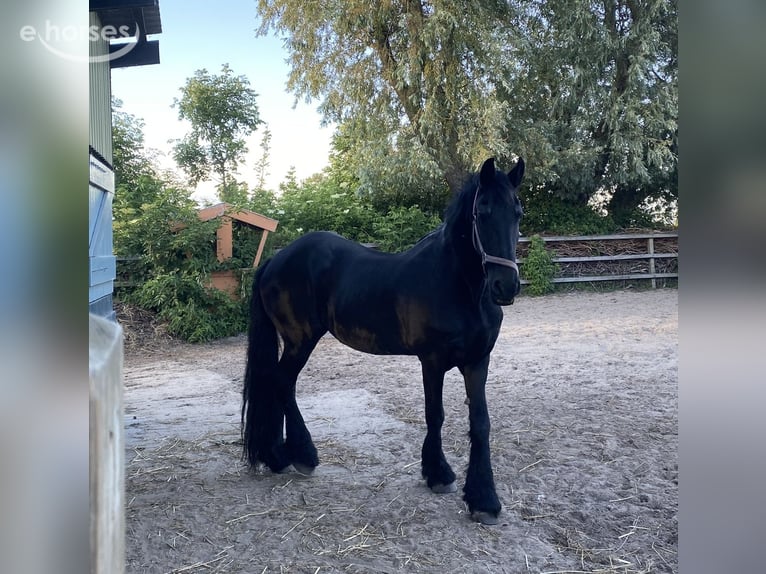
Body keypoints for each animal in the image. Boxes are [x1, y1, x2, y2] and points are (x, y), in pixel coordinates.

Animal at [242, 157, 524, 524]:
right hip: (299, 340)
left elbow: (480, 423)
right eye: (482, 211)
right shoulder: (432, 361)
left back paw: (280, 455)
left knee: (277, 385)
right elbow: (435, 414)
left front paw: (484, 499)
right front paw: (439, 474)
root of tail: (275, 260)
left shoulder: (478, 361)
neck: (460, 287)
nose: (506, 286)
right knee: (282, 383)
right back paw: (297, 455)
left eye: (517, 212)